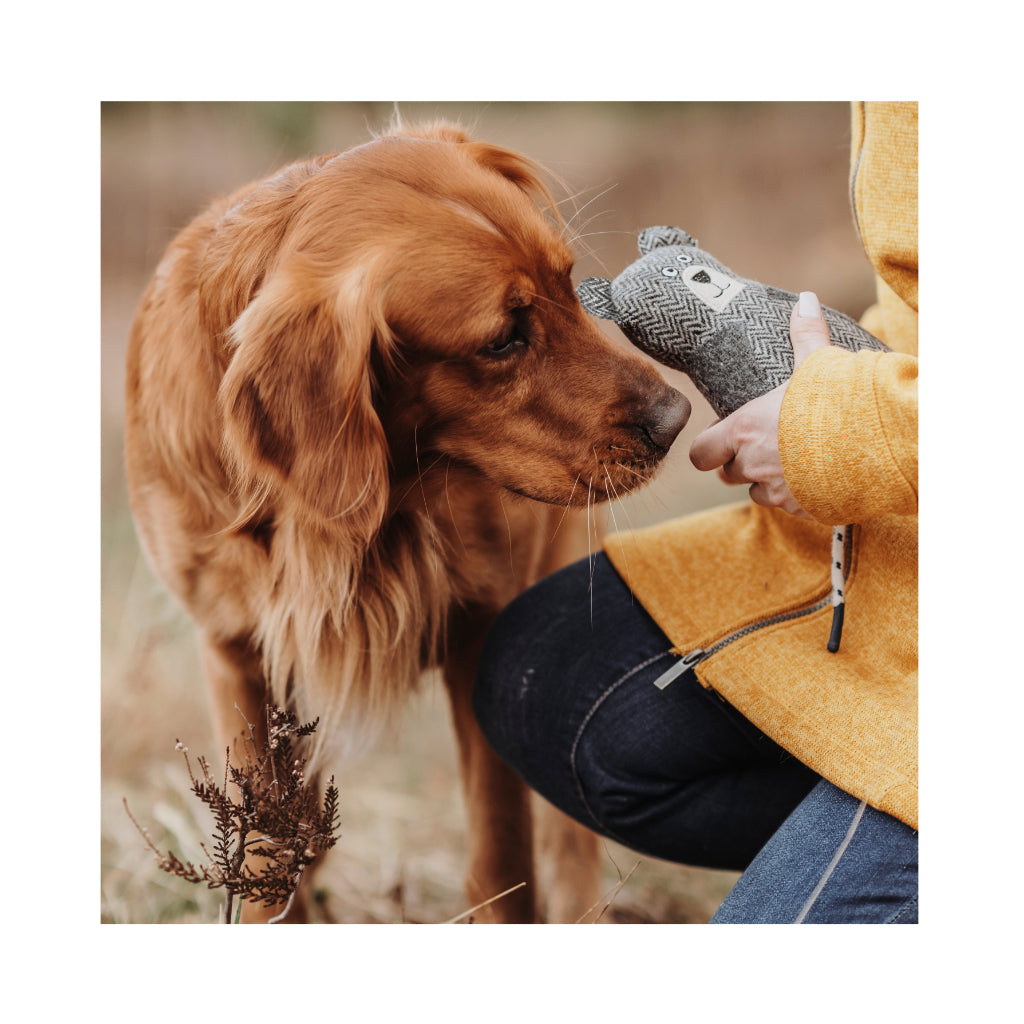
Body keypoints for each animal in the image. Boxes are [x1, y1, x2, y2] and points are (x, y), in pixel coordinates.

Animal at [123, 117, 692, 921]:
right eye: (502, 339)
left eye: (568, 283)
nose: (676, 419)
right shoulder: (236, 652)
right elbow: (265, 849)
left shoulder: (483, 635)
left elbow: (501, 853)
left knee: (568, 838)